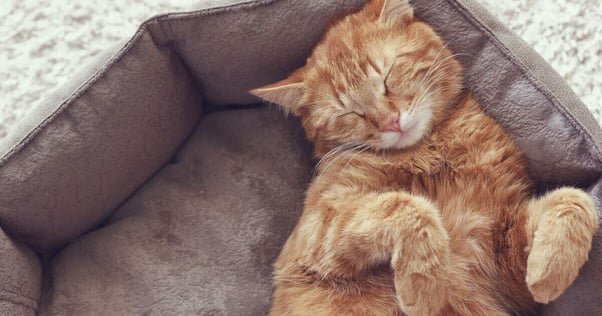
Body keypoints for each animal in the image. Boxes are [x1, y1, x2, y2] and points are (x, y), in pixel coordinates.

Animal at [247, 0, 596, 314]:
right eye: (348, 113)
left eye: (387, 77)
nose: (390, 122)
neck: (431, 151)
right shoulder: (319, 229)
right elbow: (409, 206)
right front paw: (425, 284)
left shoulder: (504, 254)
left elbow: (574, 199)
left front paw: (550, 272)